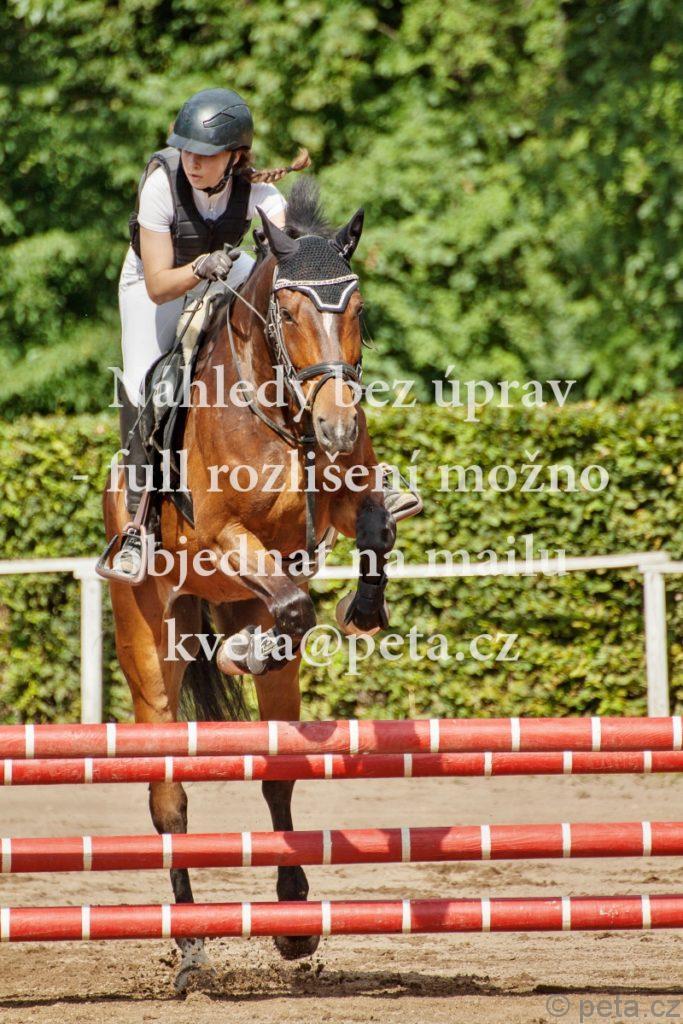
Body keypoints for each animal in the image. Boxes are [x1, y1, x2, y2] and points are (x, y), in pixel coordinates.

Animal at [102, 179, 396, 987]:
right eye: (287, 312)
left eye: (359, 308)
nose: (336, 427)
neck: (283, 411)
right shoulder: (222, 539)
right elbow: (293, 601)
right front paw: (253, 650)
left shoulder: (347, 497)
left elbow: (374, 531)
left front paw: (364, 608)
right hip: (150, 642)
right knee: (168, 792)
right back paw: (191, 947)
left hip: (230, 612)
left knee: (276, 774)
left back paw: (293, 922)